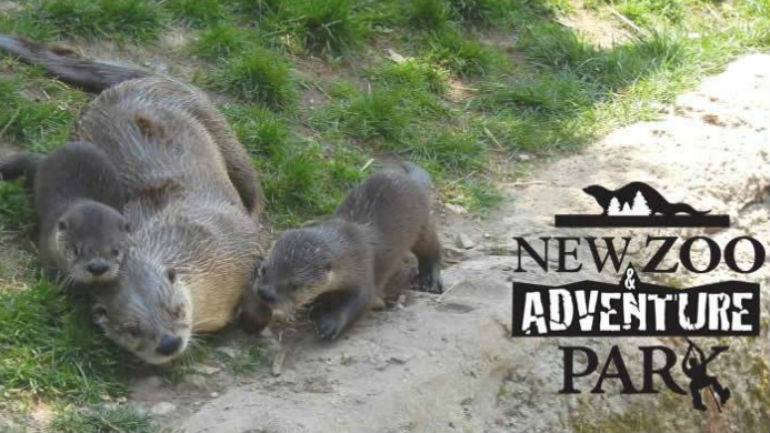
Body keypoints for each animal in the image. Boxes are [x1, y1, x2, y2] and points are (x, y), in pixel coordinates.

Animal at [244, 162, 443, 339]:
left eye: (295, 285)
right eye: (263, 270)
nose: (265, 293)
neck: (348, 249)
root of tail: (411, 181)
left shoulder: (363, 268)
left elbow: (362, 300)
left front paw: (331, 323)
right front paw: (318, 305)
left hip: (422, 224)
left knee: (432, 248)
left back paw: (430, 280)